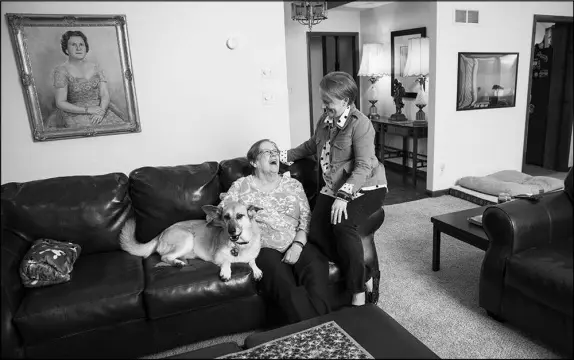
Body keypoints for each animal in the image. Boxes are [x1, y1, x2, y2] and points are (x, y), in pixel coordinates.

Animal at [122, 202, 266, 282]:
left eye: (240, 216)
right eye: (226, 217)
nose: (231, 231)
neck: (239, 245)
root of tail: (161, 233)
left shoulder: (250, 255)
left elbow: (252, 260)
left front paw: (256, 270)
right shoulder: (218, 257)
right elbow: (227, 261)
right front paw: (226, 272)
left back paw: (179, 262)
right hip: (187, 239)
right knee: (165, 257)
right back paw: (177, 263)